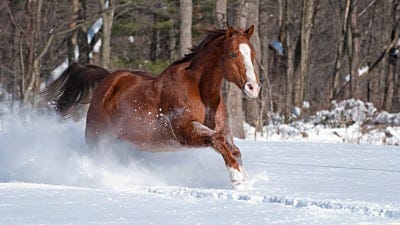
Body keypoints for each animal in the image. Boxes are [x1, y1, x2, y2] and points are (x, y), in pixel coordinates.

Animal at [43, 25, 260, 188]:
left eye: (253, 54)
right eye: (233, 54)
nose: (253, 88)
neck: (200, 91)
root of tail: (106, 80)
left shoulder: (223, 129)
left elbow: (233, 148)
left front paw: (245, 179)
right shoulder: (184, 131)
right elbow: (217, 140)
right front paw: (236, 178)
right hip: (97, 139)